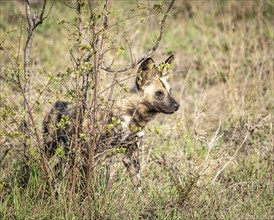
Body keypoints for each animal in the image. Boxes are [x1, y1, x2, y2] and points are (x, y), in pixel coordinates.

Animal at [42, 54, 180, 191]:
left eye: (170, 91)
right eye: (159, 93)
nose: (177, 106)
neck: (133, 117)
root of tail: (57, 104)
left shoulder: (131, 156)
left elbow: (138, 186)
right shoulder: (101, 154)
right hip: (50, 150)